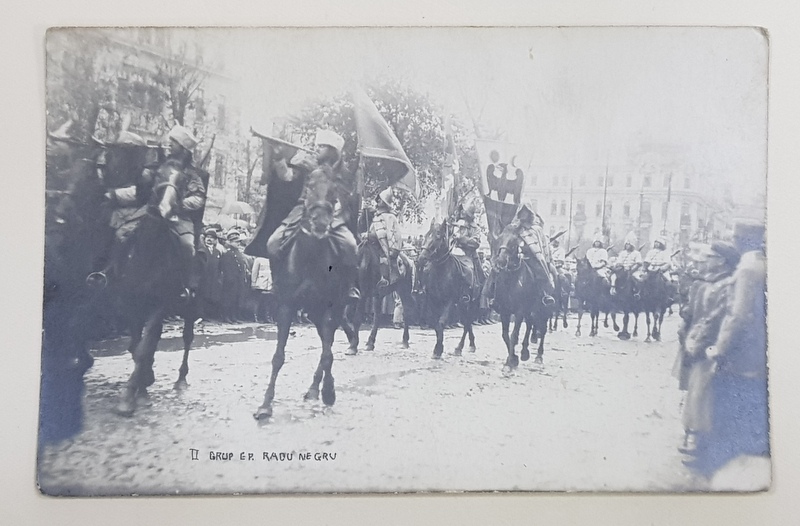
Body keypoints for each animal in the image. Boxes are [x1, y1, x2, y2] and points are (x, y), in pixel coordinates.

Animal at [416, 221, 478, 360]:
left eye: (438, 236)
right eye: (426, 235)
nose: (421, 259)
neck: (441, 271)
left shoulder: (449, 301)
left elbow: (441, 322)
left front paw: (438, 349)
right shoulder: (432, 301)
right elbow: (435, 324)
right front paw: (438, 348)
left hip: (468, 303)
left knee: (467, 322)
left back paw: (460, 348)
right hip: (461, 304)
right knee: (466, 322)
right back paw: (470, 344)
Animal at [494, 227, 552, 372]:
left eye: (513, 242)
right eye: (500, 238)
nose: (501, 261)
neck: (511, 280)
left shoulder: (519, 311)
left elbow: (514, 335)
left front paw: (509, 364)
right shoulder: (504, 311)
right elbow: (505, 335)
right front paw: (512, 359)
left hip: (544, 311)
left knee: (542, 330)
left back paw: (539, 357)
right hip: (530, 311)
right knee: (530, 326)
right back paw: (525, 352)